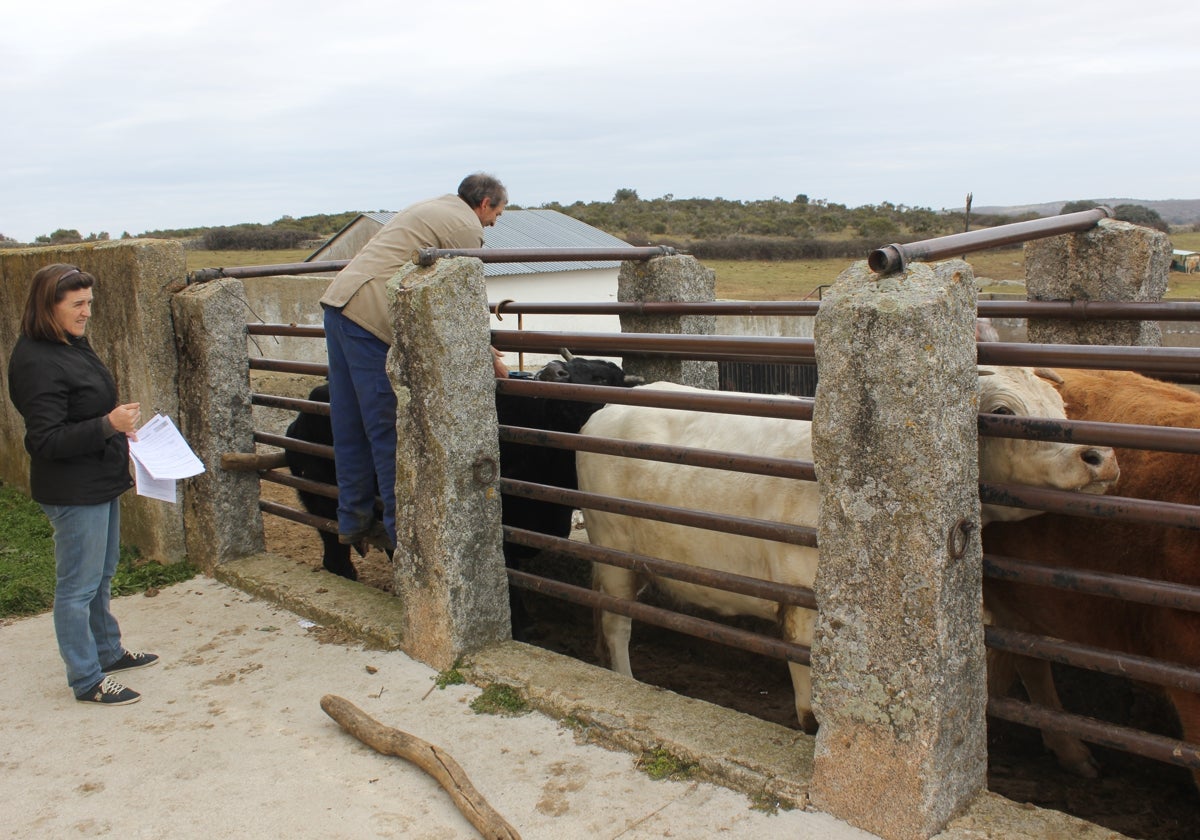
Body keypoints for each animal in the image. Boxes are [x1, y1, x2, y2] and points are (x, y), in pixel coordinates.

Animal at [576, 364, 1118, 729]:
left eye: (1061, 408)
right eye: (1004, 413)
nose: (1099, 456)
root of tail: (607, 411)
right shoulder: (799, 600)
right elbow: (807, 680)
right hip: (613, 550)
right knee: (617, 624)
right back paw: (625, 680)